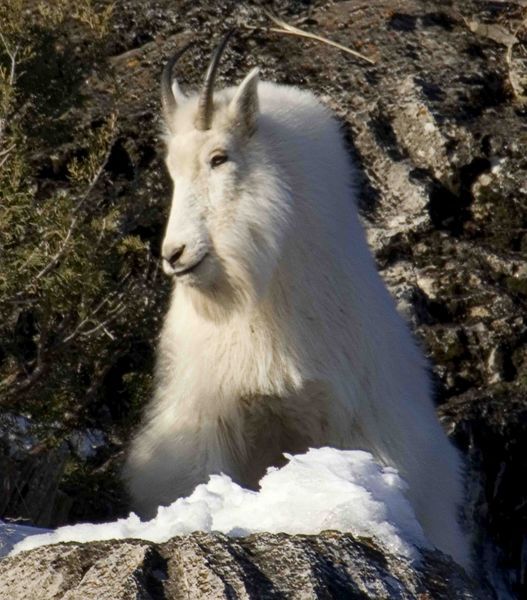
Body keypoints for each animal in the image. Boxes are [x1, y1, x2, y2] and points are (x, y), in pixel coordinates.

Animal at [126, 32, 472, 572]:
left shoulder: (345, 420)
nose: (175, 254)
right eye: (171, 169)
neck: (255, 300)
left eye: (219, 158)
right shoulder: (210, 420)